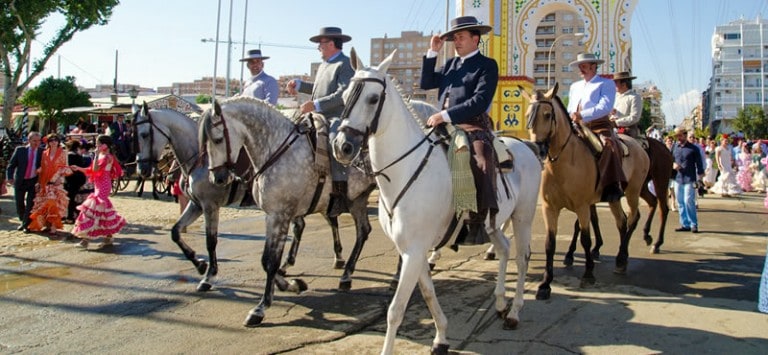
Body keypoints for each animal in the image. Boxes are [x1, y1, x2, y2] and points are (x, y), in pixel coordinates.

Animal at [332, 49, 540, 355]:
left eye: (372, 98)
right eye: (346, 95)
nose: (342, 146)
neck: (407, 168)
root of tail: (525, 146)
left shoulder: (414, 251)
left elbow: (395, 310)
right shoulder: (413, 250)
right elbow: (429, 294)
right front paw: (441, 337)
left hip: (523, 217)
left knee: (523, 259)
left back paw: (513, 312)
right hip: (493, 223)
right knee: (503, 248)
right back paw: (501, 302)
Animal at [520, 84, 648, 300]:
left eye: (547, 115)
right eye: (528, 115)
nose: (538, 149)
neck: (564, 162)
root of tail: (639, 146)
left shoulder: (582, 206)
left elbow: (586, 239)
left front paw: (588, 274)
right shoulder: (549, 208)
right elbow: (550, 243)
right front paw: (545, 283)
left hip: (633, 191)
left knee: (633, 218)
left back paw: (622, 258)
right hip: (614, 198)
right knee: (621, 222)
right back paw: (620, 259)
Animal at [560, 138, 676, 266]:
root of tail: (665, 148)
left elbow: (579, 224)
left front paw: (570, 253)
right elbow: (593, 219)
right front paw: (596, 247)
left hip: (659, 181)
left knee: (662, 209)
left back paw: (657, 243)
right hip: (642, 187)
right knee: (652, 203)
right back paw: (646, 235)